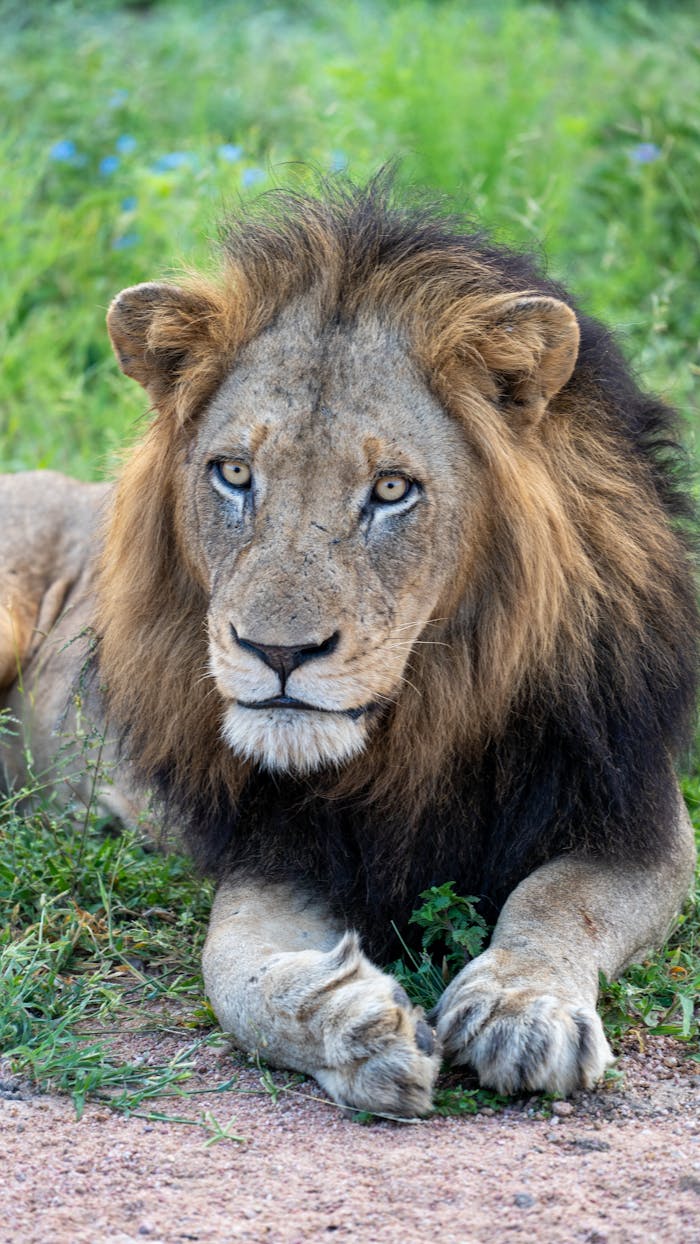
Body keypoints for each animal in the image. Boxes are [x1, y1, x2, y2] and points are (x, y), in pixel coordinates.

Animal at [1, 176, 697, 1117]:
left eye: (392, 489)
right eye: (233, 474)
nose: (277, 652)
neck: (426, 720)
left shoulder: (637, 819)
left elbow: (559, 900)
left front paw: (522, 1010)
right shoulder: (274, 848)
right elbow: (232, 970)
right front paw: (350, 1025)